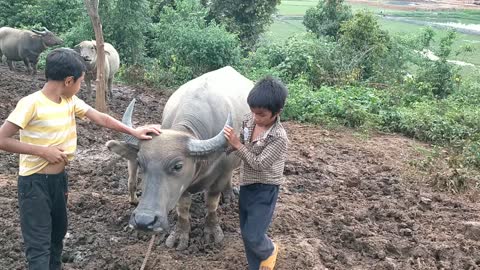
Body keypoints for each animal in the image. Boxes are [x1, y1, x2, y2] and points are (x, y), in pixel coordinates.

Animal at [107, 66, 253, 250]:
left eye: (178, 166)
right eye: (139, 163)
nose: (144, 221)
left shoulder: (220, 175)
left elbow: (211, 203)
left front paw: (213, 232)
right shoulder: (182, 187)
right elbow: (183, 208)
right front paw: (180, 235)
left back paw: (229, 196)